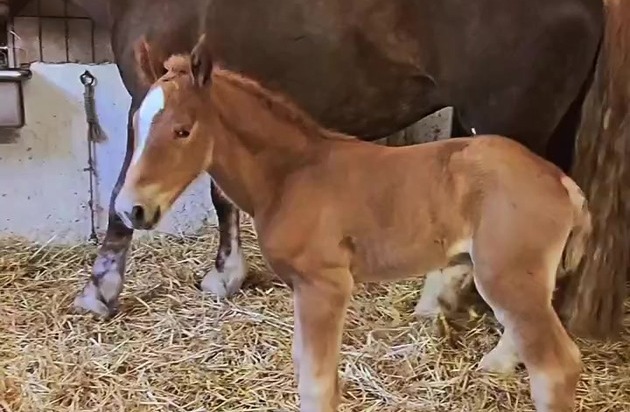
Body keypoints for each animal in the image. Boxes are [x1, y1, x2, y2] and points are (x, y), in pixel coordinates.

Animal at [116, 36, 596, 412]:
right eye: (135, 123)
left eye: (183, 130)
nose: (130, 209)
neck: (291, 175)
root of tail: (562, 182)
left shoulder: (324, 284)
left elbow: (316, 383)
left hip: (506, 277)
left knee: (556, 368)